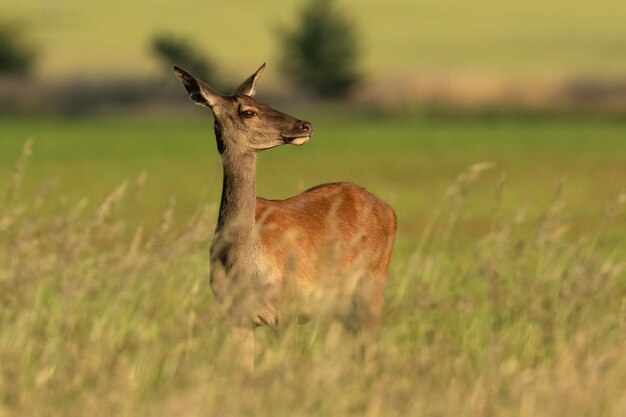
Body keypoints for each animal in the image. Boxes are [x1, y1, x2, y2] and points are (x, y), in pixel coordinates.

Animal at [172, 62, 394, 368]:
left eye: (265, 102)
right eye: (248, 111)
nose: (305, 124)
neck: (242, 265)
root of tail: (389, 209)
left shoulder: (288, 310)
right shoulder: (236, 316)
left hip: (372, 287)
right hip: (337, 307)